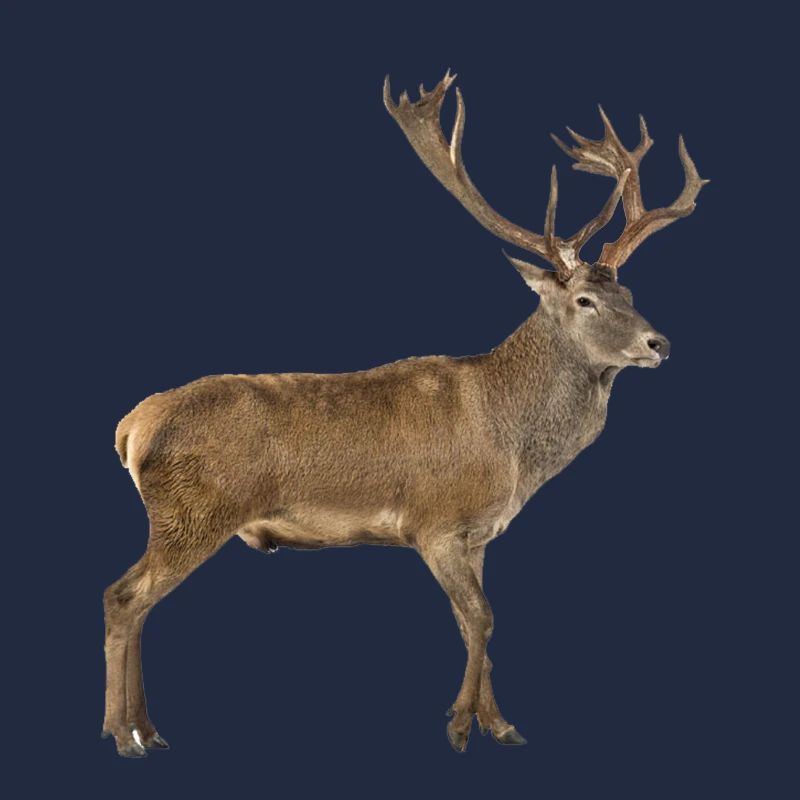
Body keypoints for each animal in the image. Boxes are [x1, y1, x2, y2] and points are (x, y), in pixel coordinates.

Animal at [102, 69, 707, 757]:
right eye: (584, 300)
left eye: (628, 291)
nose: (659, 343)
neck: (512, 448)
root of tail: (131, 428)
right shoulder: (434, 520)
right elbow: (482, 618)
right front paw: (461, 726)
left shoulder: (478, 533)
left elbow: (476, 621)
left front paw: (498, 723)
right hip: (193, 512)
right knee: (123, 597)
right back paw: (124, 734)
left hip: (180, 517)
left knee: (137, 601)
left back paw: (146, 729)